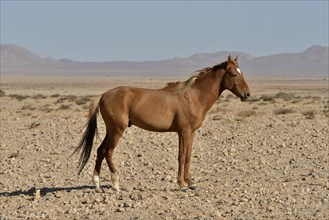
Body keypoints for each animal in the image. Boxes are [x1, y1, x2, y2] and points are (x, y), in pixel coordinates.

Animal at [71, 55, 249, 192]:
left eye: (241, 72)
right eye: (233, 74)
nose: (247, 94)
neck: (193, 97)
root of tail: (102, 96)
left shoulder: (191, 133)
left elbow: (188, 156)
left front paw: (191, 182)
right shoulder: (184, 132)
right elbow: (181, 156)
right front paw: (181, 184)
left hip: (110, 130)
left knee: (100, 150)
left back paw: (97, 185)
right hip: (117, 131)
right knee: (108, 152)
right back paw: (115, 183)